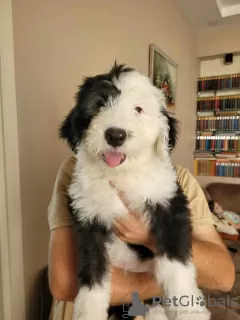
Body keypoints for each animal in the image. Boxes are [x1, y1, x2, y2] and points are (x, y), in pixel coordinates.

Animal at [59, 63, 209, 318]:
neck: (121, 175)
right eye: (99, 104)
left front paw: (189, 312)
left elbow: (176, 266)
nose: (115, 135)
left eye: (138, 109)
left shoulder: (168, 203)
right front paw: (89, 312)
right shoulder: (88, 219)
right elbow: (93, 275)